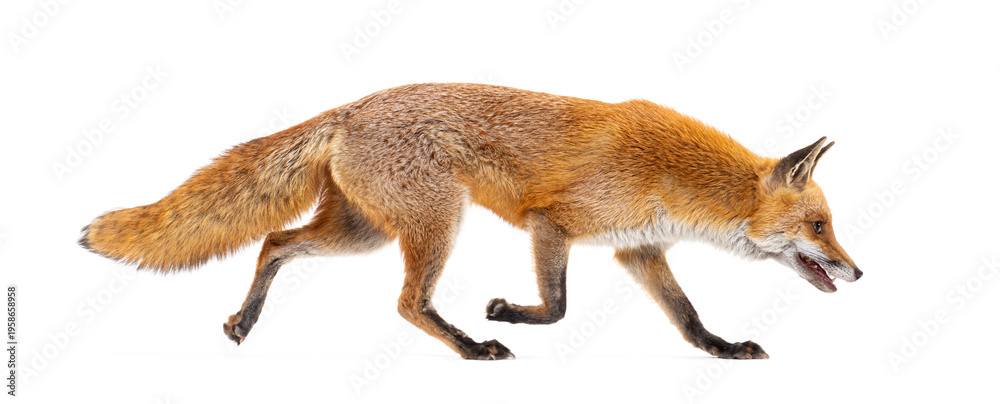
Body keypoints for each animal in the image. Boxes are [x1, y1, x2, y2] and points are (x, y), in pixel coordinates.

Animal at [80, 83, 862, 360]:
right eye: (822, 227)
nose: (859, 272)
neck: (673, 177)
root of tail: (354, 106)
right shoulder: (553, 224)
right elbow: (557, 306)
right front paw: (507, 314)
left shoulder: (636, 250)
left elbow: (688, 316)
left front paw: (721, 350)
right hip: (435, 223)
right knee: (406, 303)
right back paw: (470, 346)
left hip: (362, 231)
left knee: (275, 240)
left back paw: (244, 322)